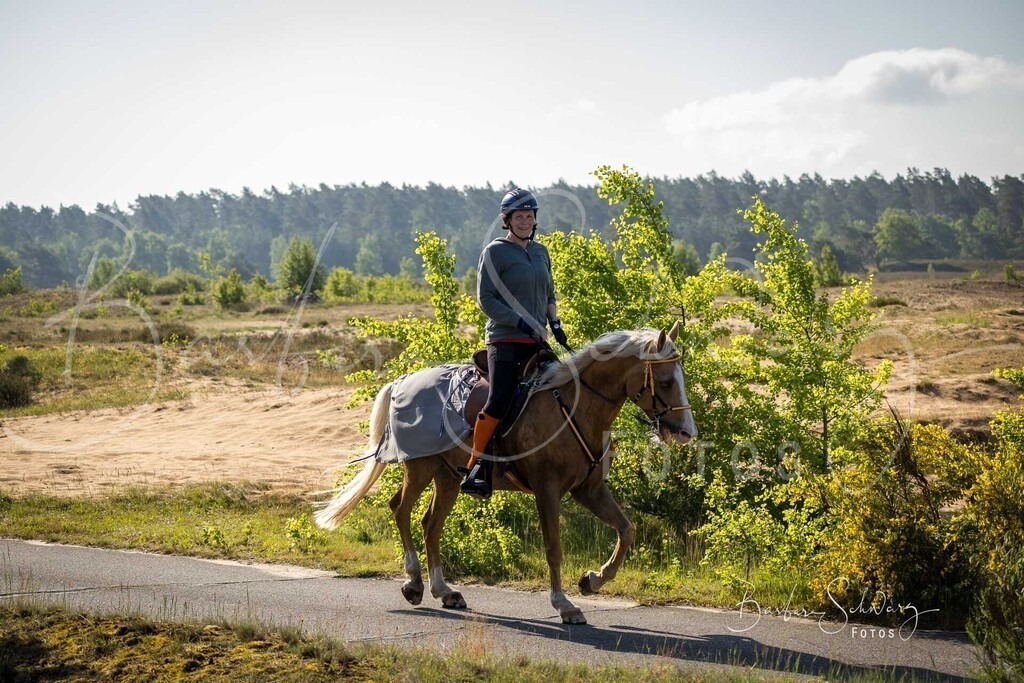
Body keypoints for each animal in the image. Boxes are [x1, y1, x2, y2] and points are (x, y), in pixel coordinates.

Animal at [315, 323, 697, 624]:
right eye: (665, 382)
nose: (685, 433)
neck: (574, 407)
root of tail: (403, 381)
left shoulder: (589, 490)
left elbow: (626, 530)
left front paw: (593, 580)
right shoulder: (547, 489)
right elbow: (553, 547)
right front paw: (564, 605)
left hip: (448, 476)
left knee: (430, 523)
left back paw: (444, 590)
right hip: (419, 467)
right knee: (401, 510)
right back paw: (414, 583)